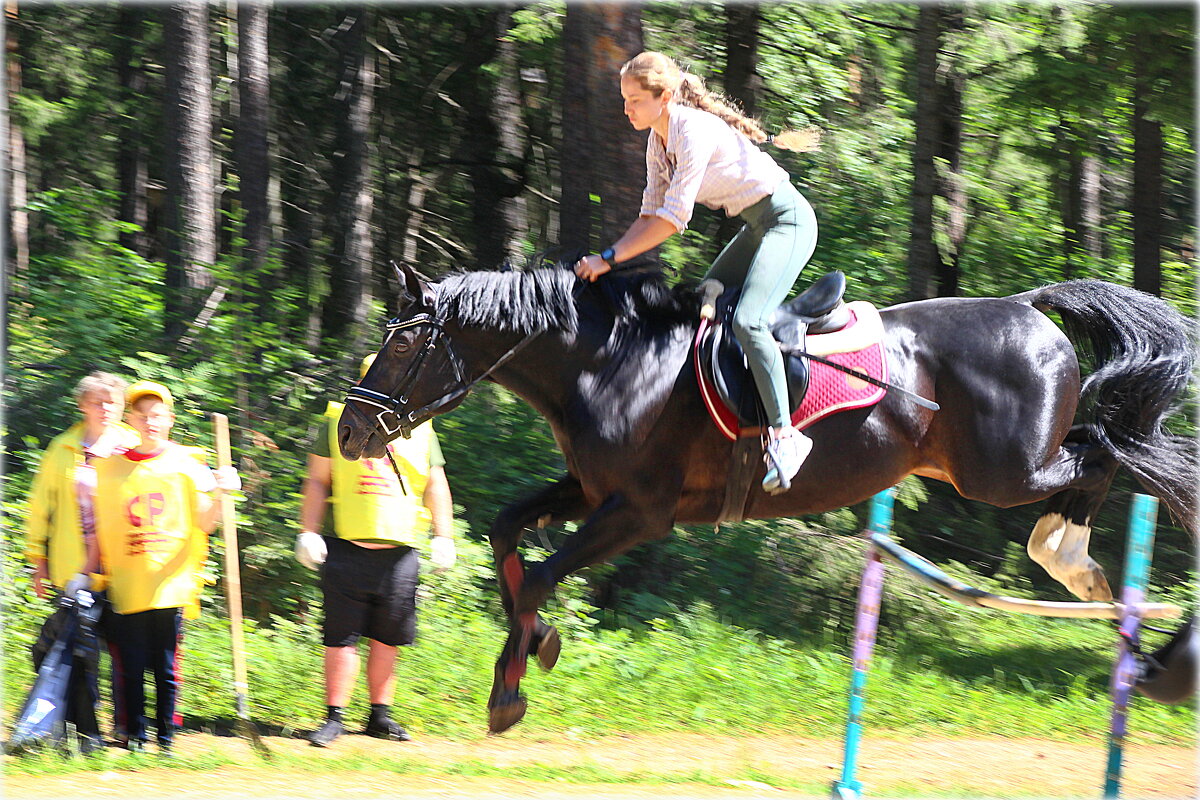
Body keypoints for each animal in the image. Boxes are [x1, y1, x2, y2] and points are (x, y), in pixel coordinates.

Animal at [333, 262, 1195, 734]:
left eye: (402, 346)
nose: (351, 431)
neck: (609, 362)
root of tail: (1027, 306)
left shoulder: (640, 511)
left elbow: (542, 571)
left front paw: (509, 688)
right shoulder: (592, 490)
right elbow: (511, 533)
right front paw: (538, 641)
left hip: (1005, 473)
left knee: (1108, 453)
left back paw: (1085, 573)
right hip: (988, 470)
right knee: (1106, 452)